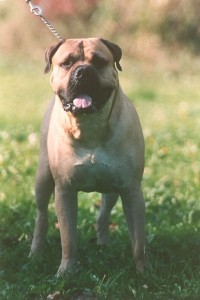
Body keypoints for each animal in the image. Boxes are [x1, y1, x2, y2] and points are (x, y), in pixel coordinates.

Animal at [29, 38, 145, 276]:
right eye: (67, 62)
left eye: (99, 61)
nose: (82, 72)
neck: (90, 125)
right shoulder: (64, 190)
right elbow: (68, 239)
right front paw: (66, 271)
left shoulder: (131, 189)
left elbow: (138, 240)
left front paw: (143, 273)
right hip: (43, 177)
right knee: (41, 215)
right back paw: (36, 251)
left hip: (113, 189)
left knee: (104, 213)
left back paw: (103, 243)